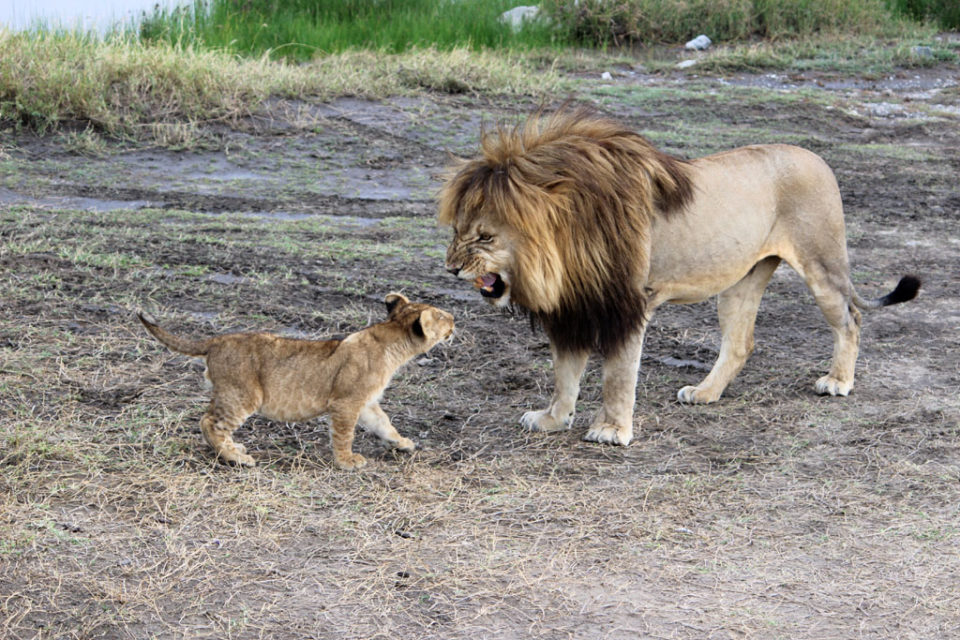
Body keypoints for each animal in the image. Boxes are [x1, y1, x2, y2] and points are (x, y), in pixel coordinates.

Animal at [139, 293, 454, 469]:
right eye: (441, 316)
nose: (454, 318)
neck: (391, 341)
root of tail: (217, 340)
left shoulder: (366, 403)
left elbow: (385, 424)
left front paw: (403, 444)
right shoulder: (346, 402)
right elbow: (344, 435)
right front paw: (347, 462)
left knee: (211, 421)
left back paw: (234, 450)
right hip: (242, 395)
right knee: (209, 423)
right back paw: (237, 459)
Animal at [439, 107, 919, 446]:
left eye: (485, 236)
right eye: (457, 230)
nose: (452, 268)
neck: (564, 248)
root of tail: (817, 156)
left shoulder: (628, 303)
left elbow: (617, 374)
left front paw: (611, 430)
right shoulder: (573, 309)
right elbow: (565, 374)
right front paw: (553, 419)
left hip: (821, 264)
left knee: (851, 319)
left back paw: (838, 382)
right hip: (741, 280)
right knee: (740, 343)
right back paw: (705, 393)